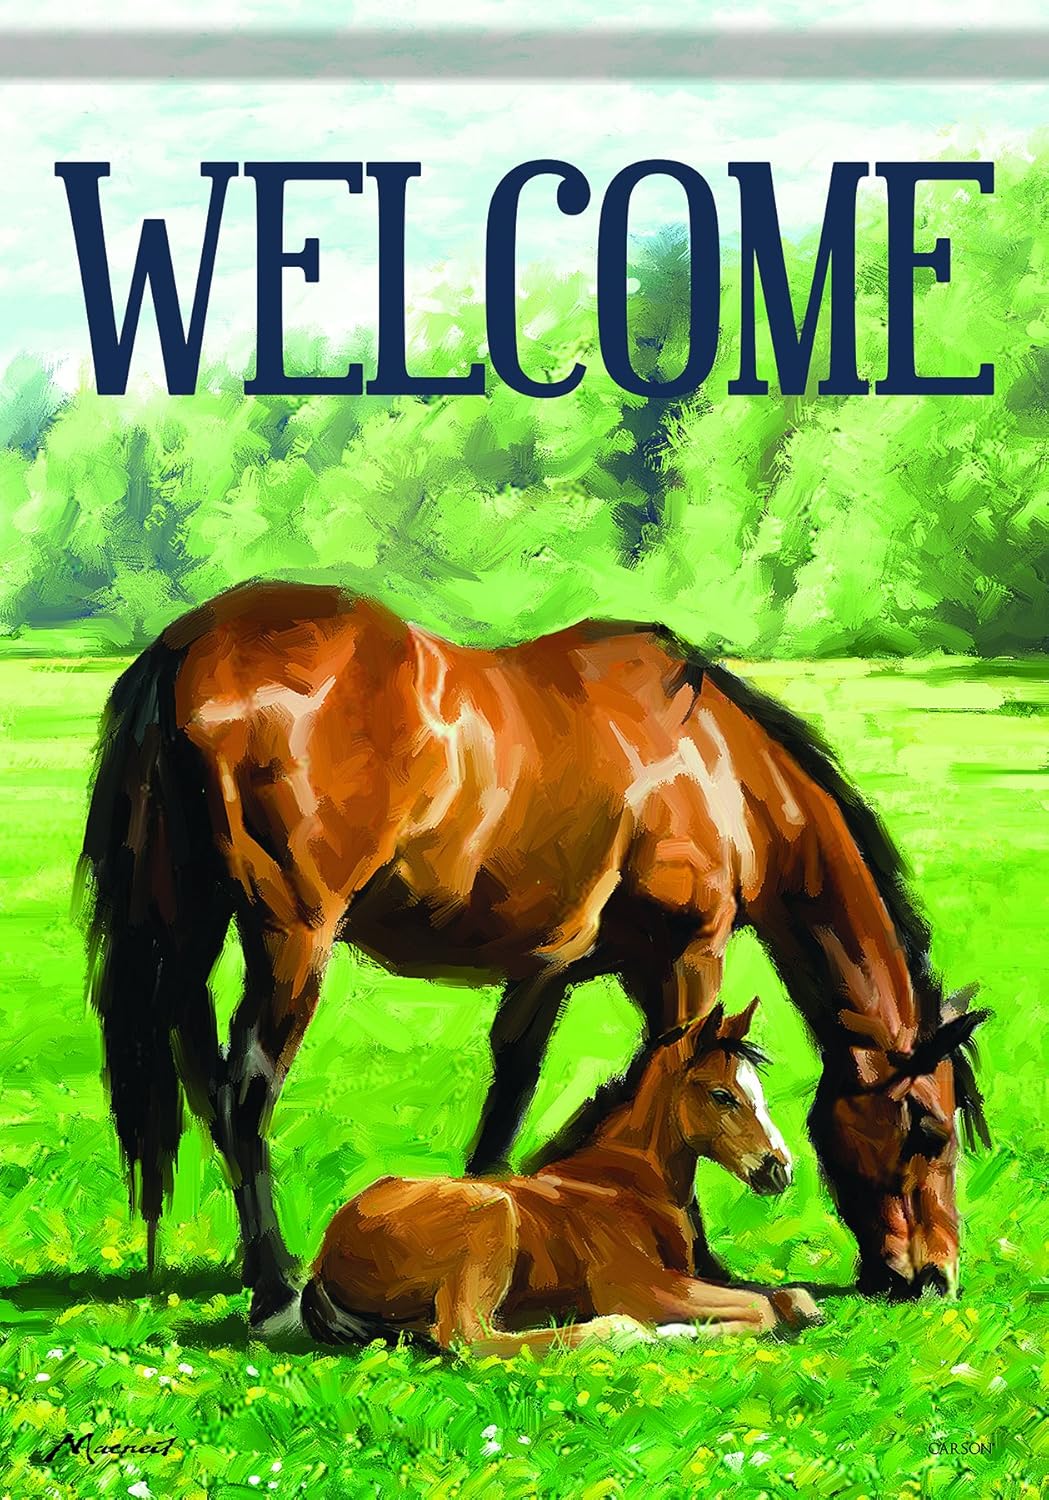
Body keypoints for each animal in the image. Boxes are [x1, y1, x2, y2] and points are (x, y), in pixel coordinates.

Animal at [301, 1000, 820, 1355]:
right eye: (721, 1095)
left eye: (758, 1090)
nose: (779, 1168)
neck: (623, 1183)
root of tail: (326, 1253)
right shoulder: (639, 1286)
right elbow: (762, 1309)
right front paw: (672, 1332)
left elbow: (792, 1299)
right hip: (491, 1213)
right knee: (469, 1337)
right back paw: (619, 1332)